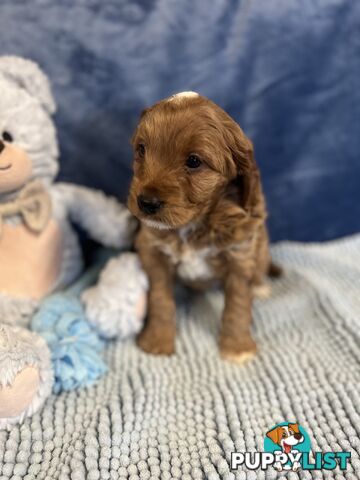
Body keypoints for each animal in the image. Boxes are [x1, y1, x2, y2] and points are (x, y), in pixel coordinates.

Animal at [128, 90, 280, 362]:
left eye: (194, 161)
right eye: (142, 149)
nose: (146, 202)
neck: (194, 223)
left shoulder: (240, 255)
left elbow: (238, 303)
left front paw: (237, 347)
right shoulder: (152, 251)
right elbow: (160, 298)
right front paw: (157, 341)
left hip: (261, 248)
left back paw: (261, 286)